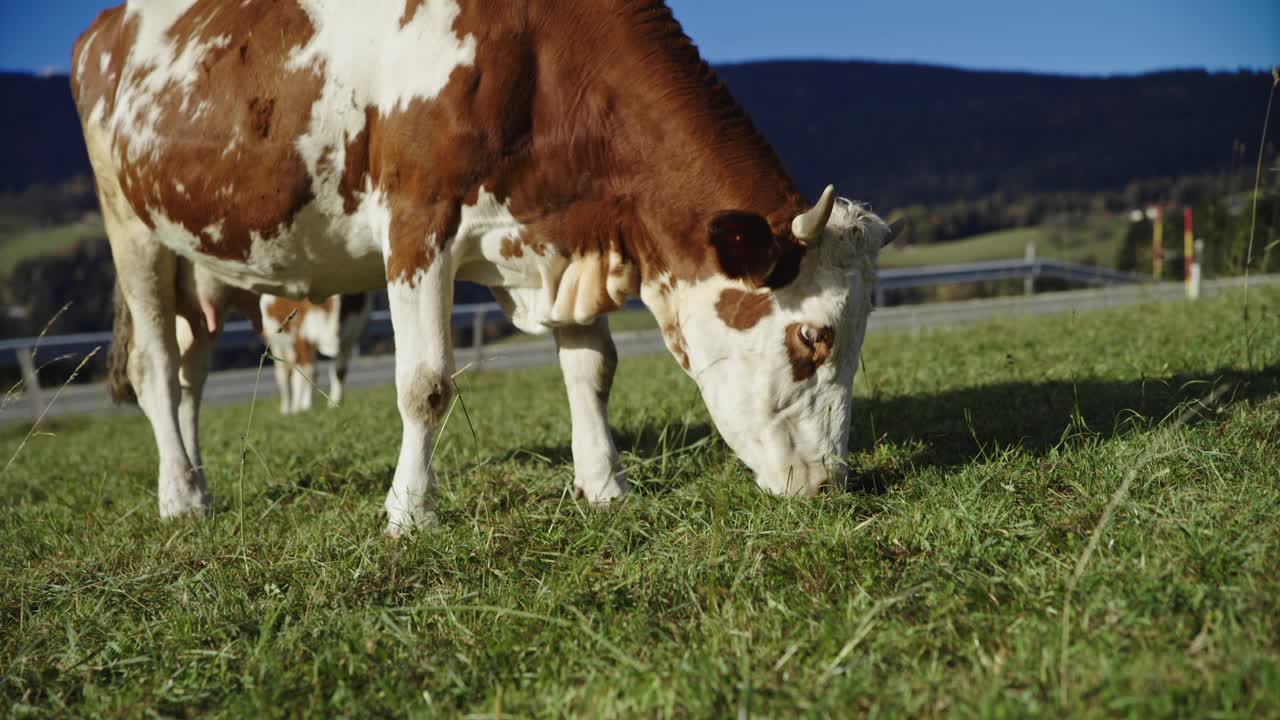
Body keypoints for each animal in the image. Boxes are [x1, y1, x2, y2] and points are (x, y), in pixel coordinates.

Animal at [74, 0, 906, 532]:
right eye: (813, 338)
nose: (829, 484)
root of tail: (103, 30)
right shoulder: (417, 221)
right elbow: (426, 384)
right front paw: (410, 511)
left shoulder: (563, 241)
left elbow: (591, 368)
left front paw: (605, 484)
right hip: (133, 233)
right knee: (155, 367)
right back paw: (180, 500)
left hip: (200, 258)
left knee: (189, 370)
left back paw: (195, 479)